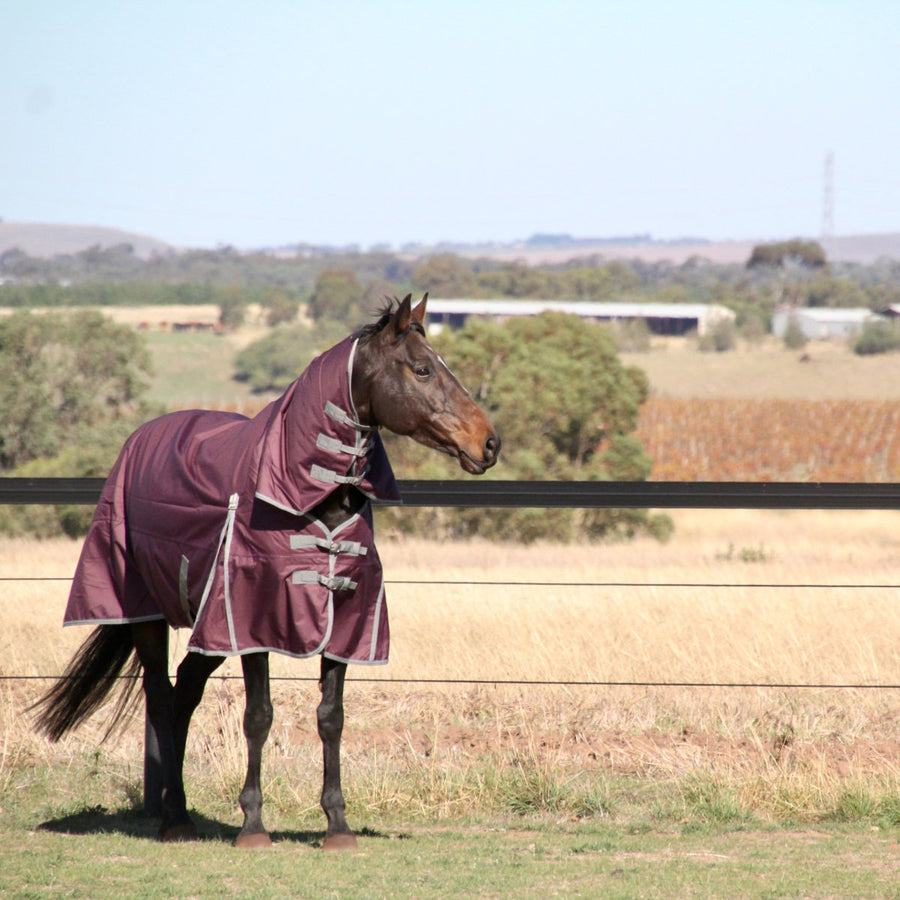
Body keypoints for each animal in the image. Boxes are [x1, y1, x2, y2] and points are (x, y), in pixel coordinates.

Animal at [31, 296, 500, 852]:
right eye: (423, 368)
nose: (489, 443)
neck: (311, 494)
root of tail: (139, 438)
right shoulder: (253, 618)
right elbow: (259, 717)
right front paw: (253, 826)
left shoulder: (344, 621)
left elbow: (331, 719)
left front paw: (337, 826)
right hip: (149, 615)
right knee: (162, 698)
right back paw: (174, 818)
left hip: (208, 627)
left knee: (185, 694)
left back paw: (177, 811)